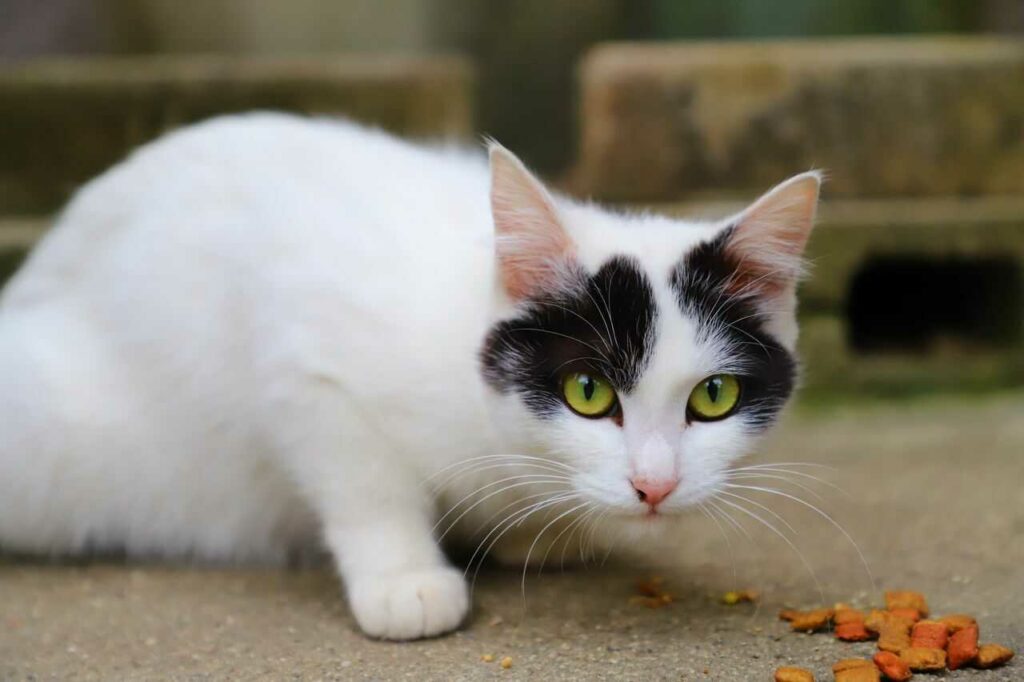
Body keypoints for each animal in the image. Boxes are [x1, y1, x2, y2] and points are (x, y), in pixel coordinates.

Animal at [0, 111, 819, 638]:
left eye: (714, 396)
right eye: (588, 393)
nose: (654, 486)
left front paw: (543, 530)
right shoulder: (304, 357)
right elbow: (365, 481)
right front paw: (403, 581)